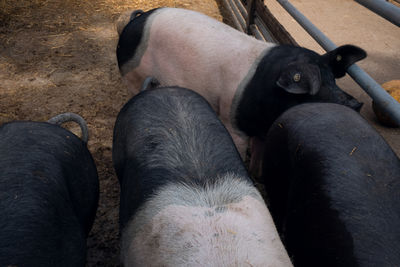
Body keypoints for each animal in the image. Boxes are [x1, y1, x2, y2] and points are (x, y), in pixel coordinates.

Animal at [115, 7, 366, 160]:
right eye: (313, 88)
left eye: (332, 78)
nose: (356, 104)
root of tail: (137, 19)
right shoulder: (232, 121)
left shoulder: (262, 131)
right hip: (131, 74)